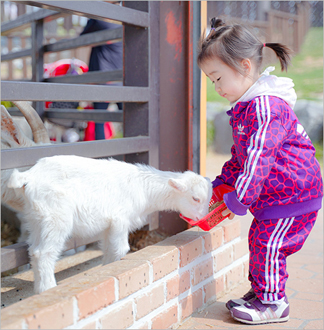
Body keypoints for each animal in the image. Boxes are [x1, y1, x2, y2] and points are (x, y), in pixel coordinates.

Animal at [8, 156, 213, 292]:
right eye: (195, 198)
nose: (202, 219)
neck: (143, 187)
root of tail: (28, 177)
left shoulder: (109, 227)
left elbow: (108, 250)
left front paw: (106, 269)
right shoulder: (119, 220)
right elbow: (120, 249)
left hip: (37, 219)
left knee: (34, 251)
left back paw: (38, 289)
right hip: (56, 217)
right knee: (44, 252)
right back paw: (48, 288)